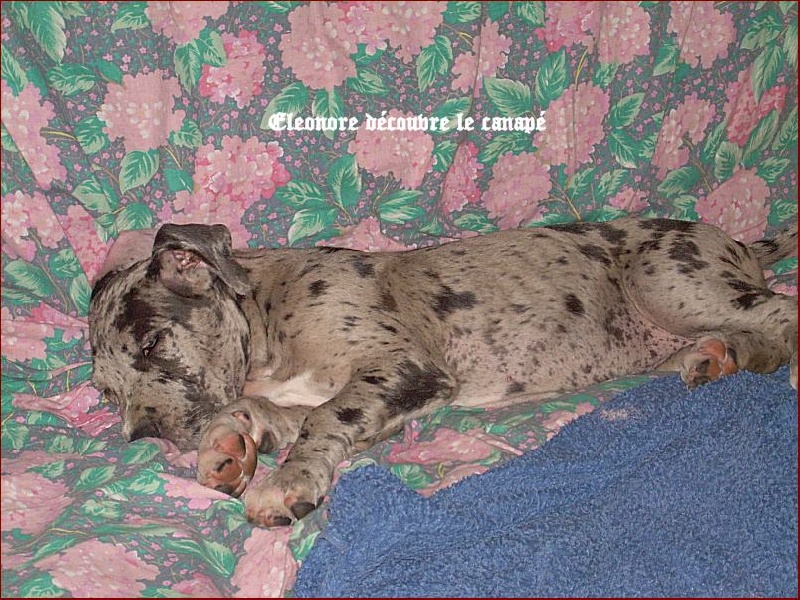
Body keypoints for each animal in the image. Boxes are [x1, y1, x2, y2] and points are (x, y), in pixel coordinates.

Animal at [88, 217, 798, 527]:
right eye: (106, 392)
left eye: (153, 342)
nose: (142, 436)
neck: (266, 319)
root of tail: (739, 242)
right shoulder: (342, 397)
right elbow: (282, 414)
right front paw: (230, 447)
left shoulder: (402, 367)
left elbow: (325, 418)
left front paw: (283, 483)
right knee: (754, 338)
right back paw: (714, 360)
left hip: (669, 277)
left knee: (781, 310)